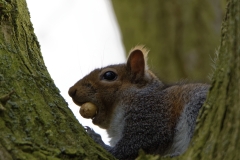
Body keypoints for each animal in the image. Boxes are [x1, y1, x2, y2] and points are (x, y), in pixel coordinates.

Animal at [68, 45, 210, 159]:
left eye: (109, 75)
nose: (71, 91)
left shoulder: (151, 114)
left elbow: (132, 145)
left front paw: (99, 141)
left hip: (195, 105)